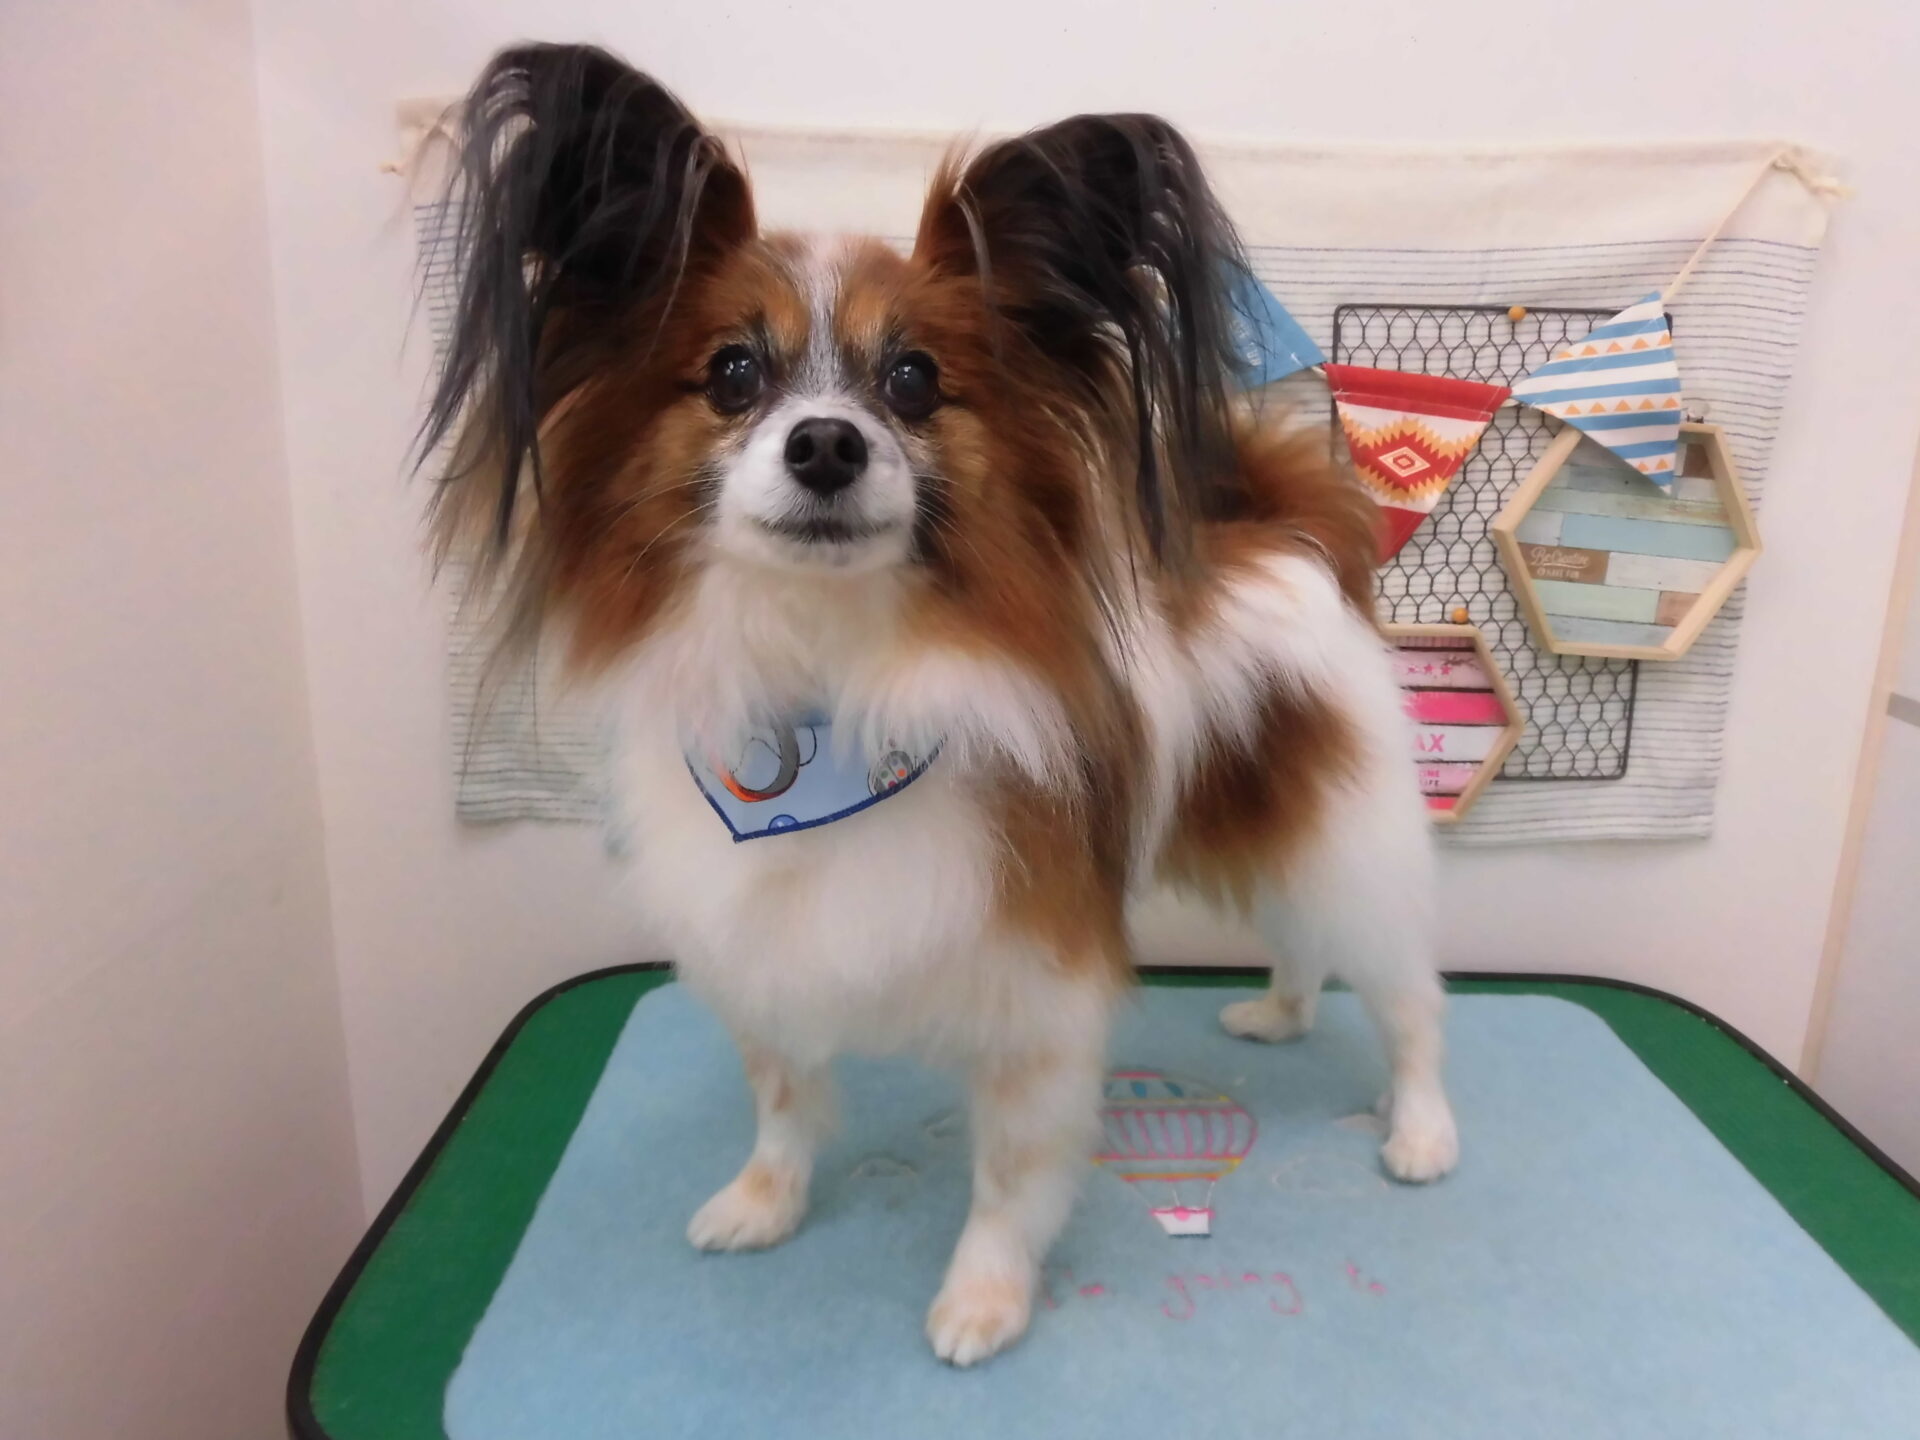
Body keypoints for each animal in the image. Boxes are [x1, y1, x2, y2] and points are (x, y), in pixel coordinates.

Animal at [423, 42, 1457, 1367]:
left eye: (913, 380)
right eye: (732, 374)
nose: (824, 443)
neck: (832, 694)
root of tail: (1284, 537)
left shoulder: (1037, 986)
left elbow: (1010, 1175)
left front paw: (984, 1300)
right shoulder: (766, 945)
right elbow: (782, 1100)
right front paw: (763, 1205)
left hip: (1342, 838)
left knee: (1406, 994)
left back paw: (1421, 1132)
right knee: (1299, 946)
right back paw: (1275, 1018)